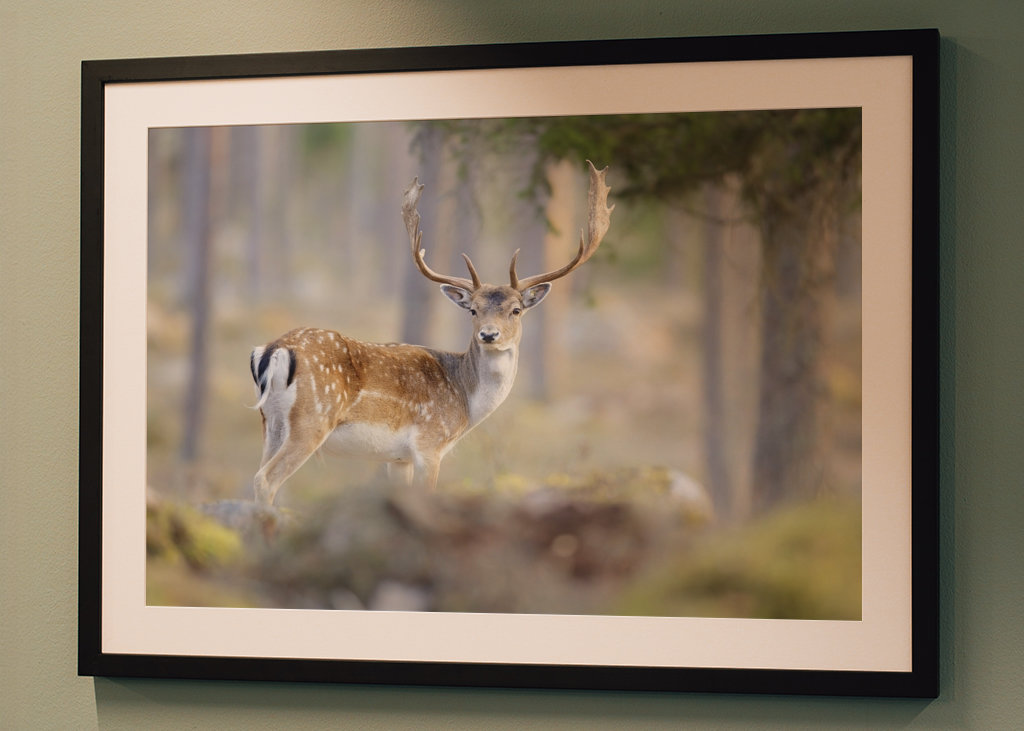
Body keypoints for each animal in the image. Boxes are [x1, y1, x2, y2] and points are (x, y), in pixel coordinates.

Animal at [249, 160, 613, 507]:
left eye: (516, 310)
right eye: (472, 310)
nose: (489, 335)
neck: (466, 401)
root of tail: (272, 351)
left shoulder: (398, 459)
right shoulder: (430, 444)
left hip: (271, 424)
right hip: (313, 418)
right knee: (265, 480)